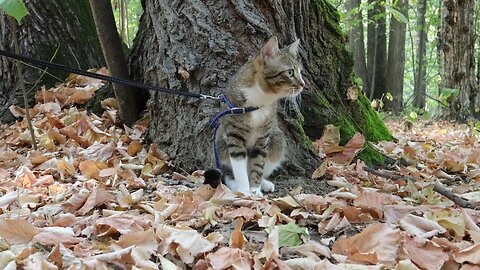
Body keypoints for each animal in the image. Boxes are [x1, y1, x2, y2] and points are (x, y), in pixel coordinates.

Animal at [217, 35, 306, 196]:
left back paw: (265, 183)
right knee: (228, 173)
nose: (303, 84)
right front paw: (244, 191)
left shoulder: (263, 137)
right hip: (220, 143)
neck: (260, 99)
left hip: (277, 140)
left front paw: (255, 189)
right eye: (290, 72)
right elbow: (239, 169)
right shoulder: (234, 136)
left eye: (300, 71)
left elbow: (258, 165)